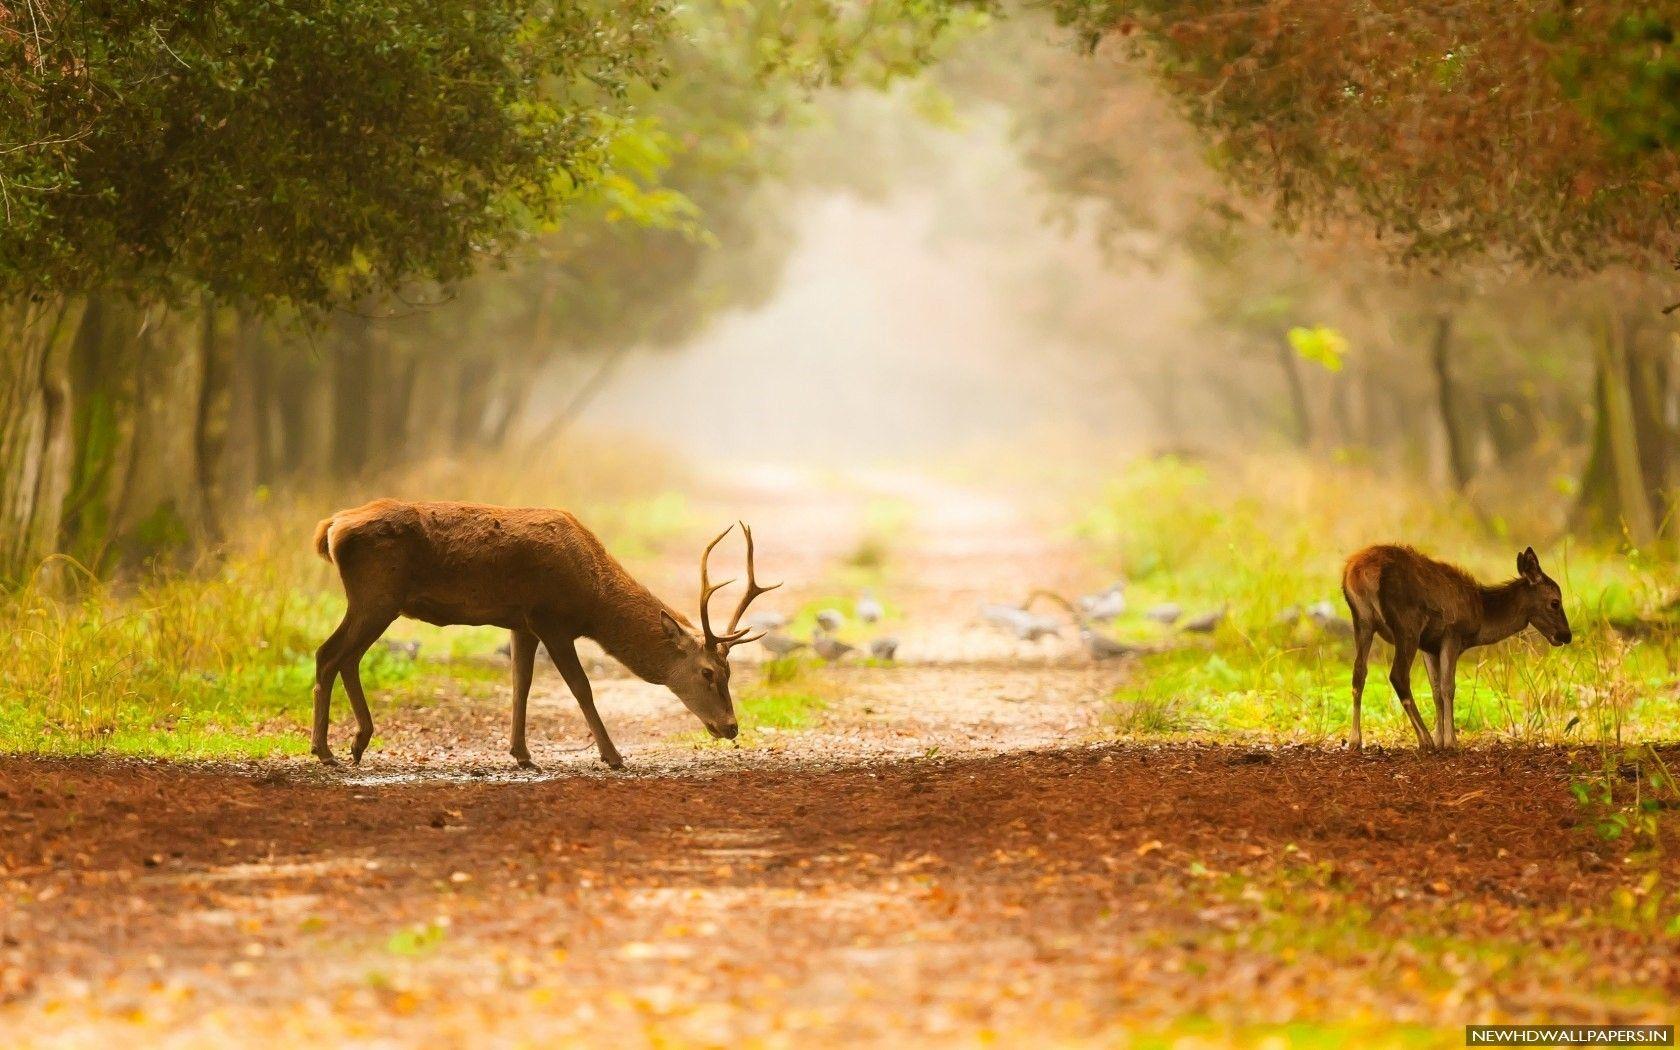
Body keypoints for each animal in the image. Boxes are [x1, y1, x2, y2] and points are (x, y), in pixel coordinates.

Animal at [309, 500, 778, 769]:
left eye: (731, 673)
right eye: (708, 672)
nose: (731, 727)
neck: (592, 600)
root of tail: (330, 527)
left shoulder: (522, 623)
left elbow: (521, 685)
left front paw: (522, 755)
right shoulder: (552, 619)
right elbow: (581, 687)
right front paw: (613, 756)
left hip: (374, 600)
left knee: (343, 656)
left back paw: (356, 744)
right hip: (377, 595)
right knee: (329, 654)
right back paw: (326, 750)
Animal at [1342, 544, 1572, 751]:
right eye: (1555, 602)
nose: (1566, 635)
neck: (1481, 615)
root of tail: (1358, 573)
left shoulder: (1429, 646)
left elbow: (1435, 690)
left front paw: (1440, 739)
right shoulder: (1452, 634)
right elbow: (1448, 688)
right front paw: (1450, 742)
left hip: (1362, 620)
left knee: (1359, 672)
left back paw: (1354, 740)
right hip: (1407, 624)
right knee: (1398, 675)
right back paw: (1424, 740)